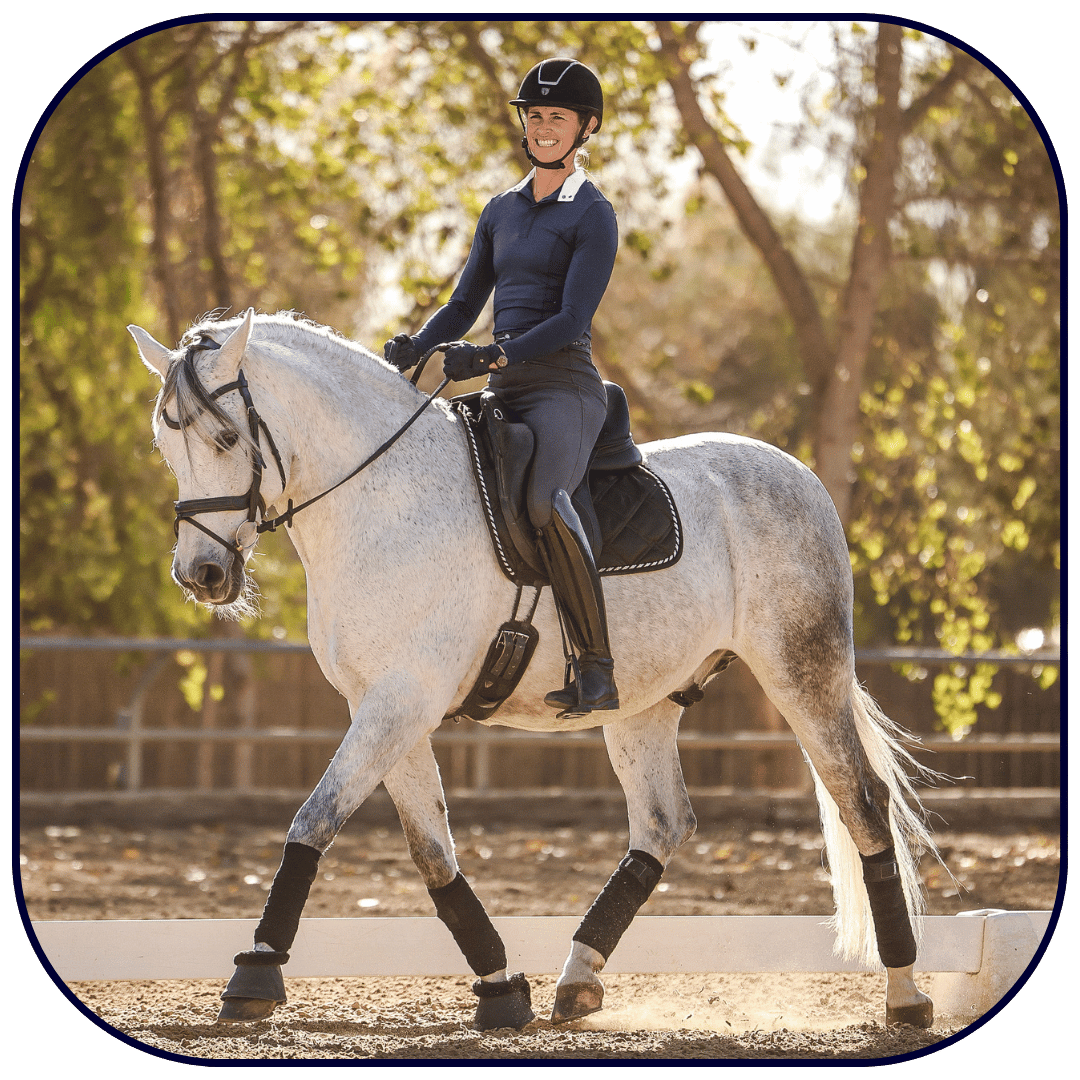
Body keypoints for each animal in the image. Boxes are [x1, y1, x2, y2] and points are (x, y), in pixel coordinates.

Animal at [128, 308, 938, 1030]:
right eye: (166, 444)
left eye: (226, 437)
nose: (201, 575)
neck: (381, 498)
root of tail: (799, 474)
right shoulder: (389, 706)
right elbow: (431, 852)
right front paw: (499, 988)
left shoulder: (400, 701)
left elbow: (314, 819)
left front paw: (255, 974)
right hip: (644, 703)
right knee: (662, 823)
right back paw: (577, 979)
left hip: (802, 671)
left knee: (862, 804)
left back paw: (906, 994)